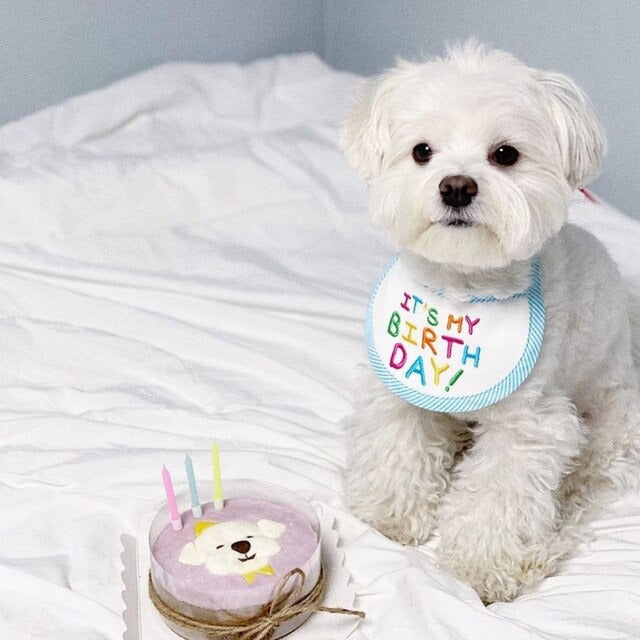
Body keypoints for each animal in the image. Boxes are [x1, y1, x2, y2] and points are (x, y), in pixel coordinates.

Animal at [342, 41, 640, 604]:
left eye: (505, 154)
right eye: (422, 151)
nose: (456, 186)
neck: (462, 285)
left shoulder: (530, 424)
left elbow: (500, 492)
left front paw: (484, 565)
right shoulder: (403, 388)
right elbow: (401, 445)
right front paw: (392, 513)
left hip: (612, 426)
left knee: (580, 487)